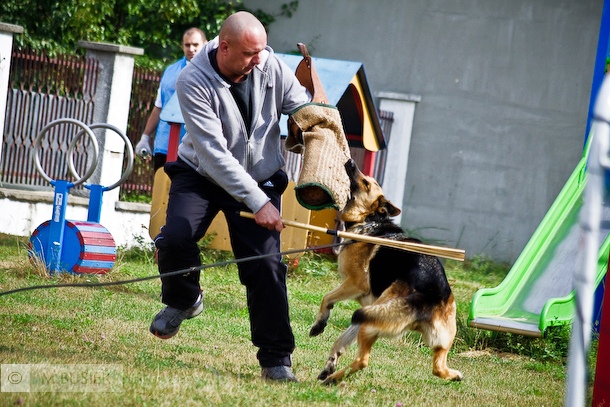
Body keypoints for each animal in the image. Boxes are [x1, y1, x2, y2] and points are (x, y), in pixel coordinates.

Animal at [310, 159, 463, 385]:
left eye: (366, 183)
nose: (350, 161)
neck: (370, 220)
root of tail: (427, 296)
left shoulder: (354, 283)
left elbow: (326, 298)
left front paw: (319, 325)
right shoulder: (367, 307)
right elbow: (340, 342)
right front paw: (330, 363)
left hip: (371, 318)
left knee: (363, 360)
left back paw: (334, 379)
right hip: (416, 332)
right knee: (438, 368)